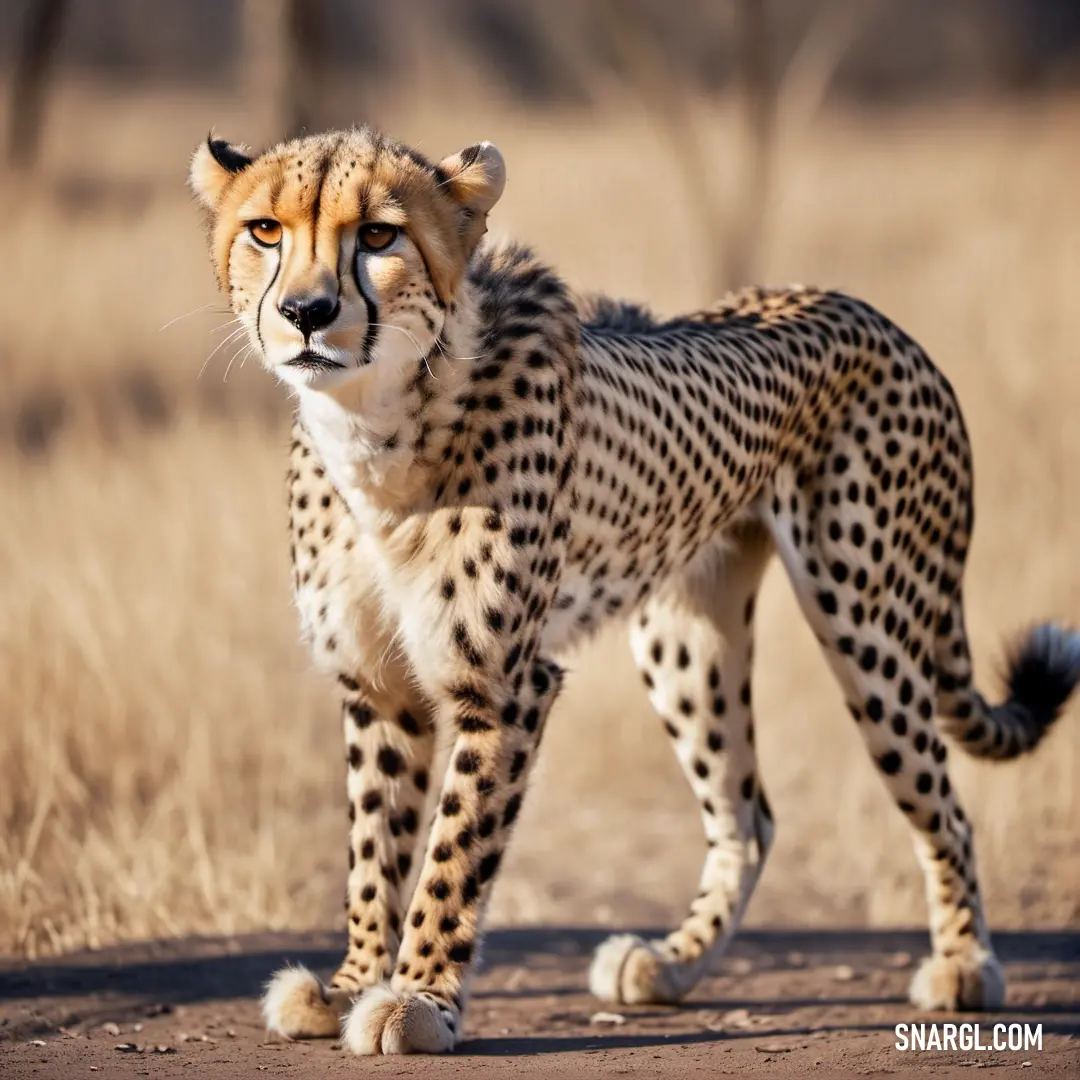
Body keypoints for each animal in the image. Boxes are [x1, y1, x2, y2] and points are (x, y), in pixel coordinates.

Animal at [192, 126, 1080, 1054]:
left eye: (377, 235)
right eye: (265, 231)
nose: (306, 312)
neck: (377, 428)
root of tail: (871, 314)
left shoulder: (504, 685)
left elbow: (452, 851)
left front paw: (419, 998)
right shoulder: (378, 687)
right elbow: (376, 843)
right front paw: (352, 983)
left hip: (868, 617)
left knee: (941, 806)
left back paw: (965, 966)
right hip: (686, 637)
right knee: (747, 814)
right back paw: (672, 964)